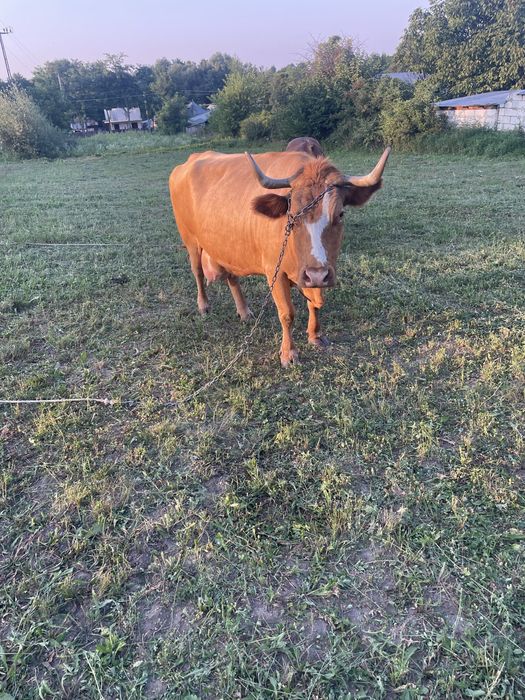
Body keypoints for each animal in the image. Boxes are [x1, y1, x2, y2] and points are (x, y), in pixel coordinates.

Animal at [169, 147, 390, 366]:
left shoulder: (315, 272)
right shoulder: (275, 272)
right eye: (292, 215)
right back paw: (204, 305)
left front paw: (315, 335)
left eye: (341, 214)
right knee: (198, 272)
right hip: (191, 241)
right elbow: (287, 313)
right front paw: (288, 353)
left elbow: (314, 304)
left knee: (232, 277)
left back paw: (244, 311)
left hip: (226, 248)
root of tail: (191, 160)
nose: (317, 274)